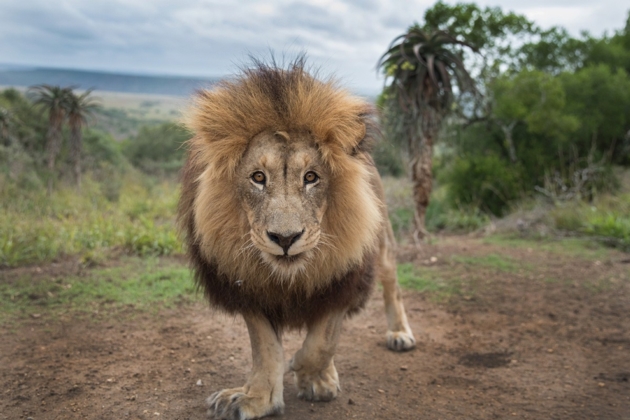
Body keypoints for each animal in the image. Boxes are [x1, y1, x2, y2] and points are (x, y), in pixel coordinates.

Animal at [178, 60, 418, 420]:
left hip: (383, 240)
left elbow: (322, 341)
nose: (285, 238)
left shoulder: (343, 278)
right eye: (258, 177)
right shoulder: (245, 285)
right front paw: (255, 398)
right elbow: (266, 348)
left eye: (311, 177)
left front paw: (312, 377)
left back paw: (399, 333)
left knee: (393, 284)